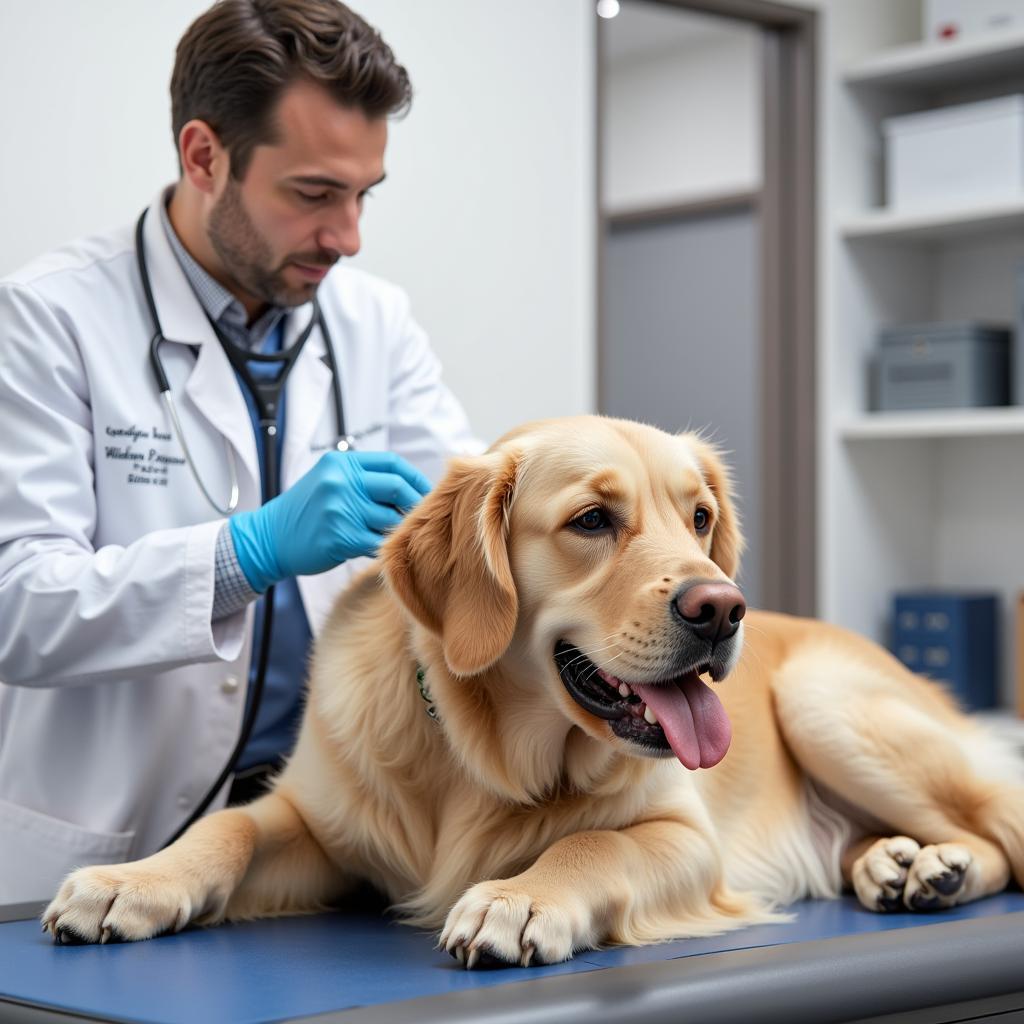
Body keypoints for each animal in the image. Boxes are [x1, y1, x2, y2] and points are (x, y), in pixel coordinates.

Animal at [44, 415, 1024, 966]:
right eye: (592, 520)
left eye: (700, 517)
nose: (723, 608)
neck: (484, 755)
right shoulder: (319, 828)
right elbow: (231, 828)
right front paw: (133, 881)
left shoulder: (686, 839)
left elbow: (593, 846)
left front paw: (518, 898)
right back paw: (901, 864)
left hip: (827, 703)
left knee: (1004, 836)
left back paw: (936, 866)